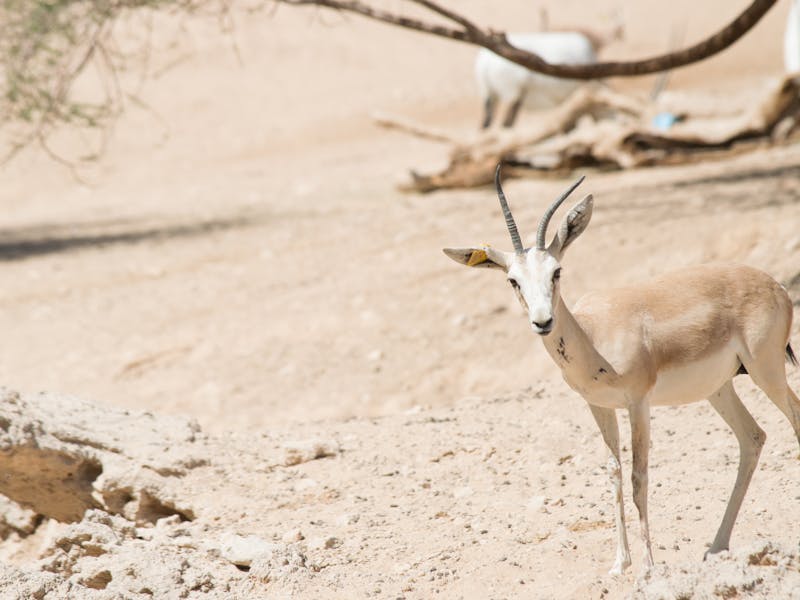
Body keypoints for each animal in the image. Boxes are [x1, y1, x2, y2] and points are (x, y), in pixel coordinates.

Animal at [444, 165, 800, 572]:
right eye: (513, 280)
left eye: (556, 271)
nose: (543, 322)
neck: (593, 337)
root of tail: (775, 284)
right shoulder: (599, 406)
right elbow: (613, 473)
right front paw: (620, 562)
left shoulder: (638, 403)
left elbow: (638, 475)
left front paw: (646, 564)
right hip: (719, 389)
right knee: (753, 437)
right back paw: (716, 547)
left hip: (766, 371)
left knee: (794, 418)